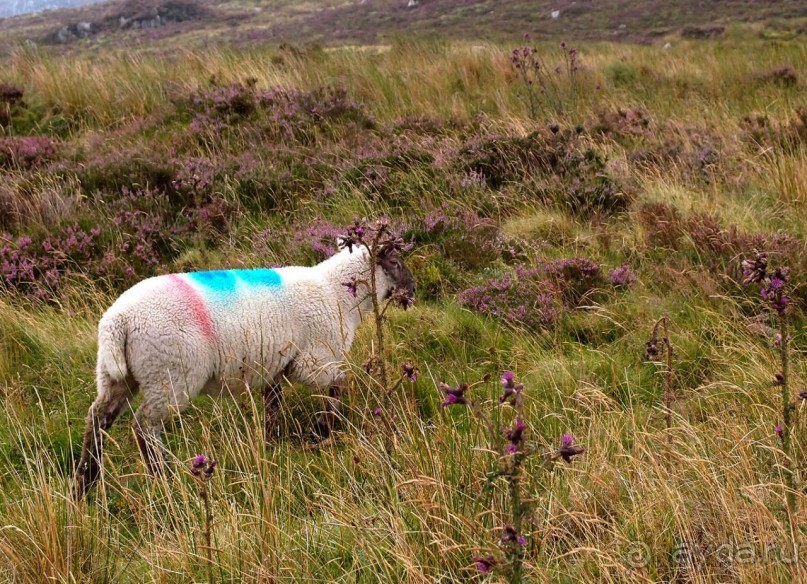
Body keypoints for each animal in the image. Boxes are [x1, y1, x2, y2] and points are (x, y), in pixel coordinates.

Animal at [74, 243, 416, 498]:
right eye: (395, 262)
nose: (413, 290)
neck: (339, 293)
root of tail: (118, 320)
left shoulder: (276, 366)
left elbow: (273, 406)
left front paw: (271, 446)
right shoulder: (316, 360)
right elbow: (339, 386)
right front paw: (326, 430)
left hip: (118, 375)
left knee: (98, 418)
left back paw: (85, 484)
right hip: (170, 374)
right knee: (143, 427)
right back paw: (163, 479)